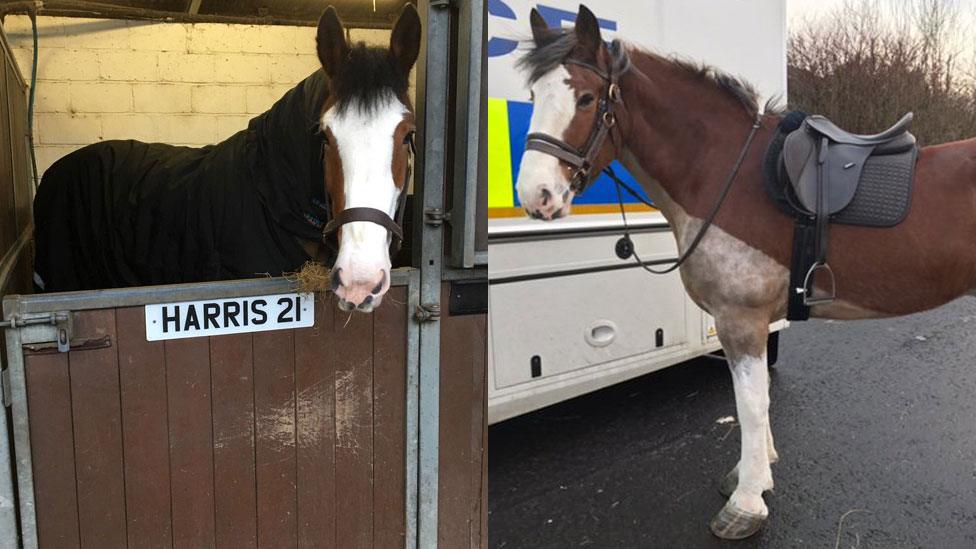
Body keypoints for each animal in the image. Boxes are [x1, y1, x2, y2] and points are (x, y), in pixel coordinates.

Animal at [516, 4, 976, 540]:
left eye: (587, 98)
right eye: (533, 95)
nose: (536, 195)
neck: (724, 173)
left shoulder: (741, 318)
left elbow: (750, 406)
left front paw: (747, 501)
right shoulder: (748, 323)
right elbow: (756, 403)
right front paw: (754, 473)